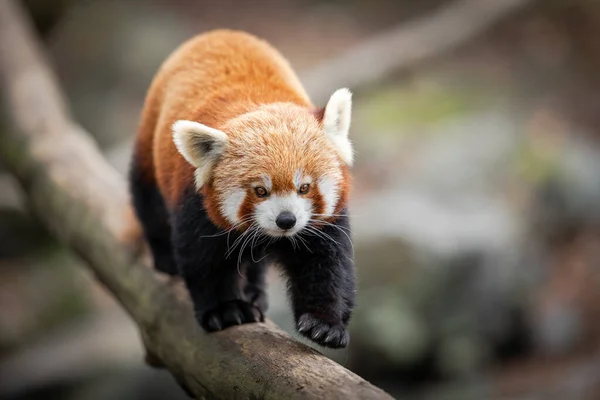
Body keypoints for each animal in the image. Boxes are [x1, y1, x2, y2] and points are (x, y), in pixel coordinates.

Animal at [130, 29, 356, 346]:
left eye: (304, 188)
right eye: (260, 191)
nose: (286, 220)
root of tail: (220, 32)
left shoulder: (324, 221)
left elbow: (328, 264)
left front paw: (325, 324)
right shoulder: (196, 203)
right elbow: (203, 259)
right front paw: (225, 310)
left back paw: (254, 290)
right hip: (150, 136)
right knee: (147, 199)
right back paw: (164, 258)